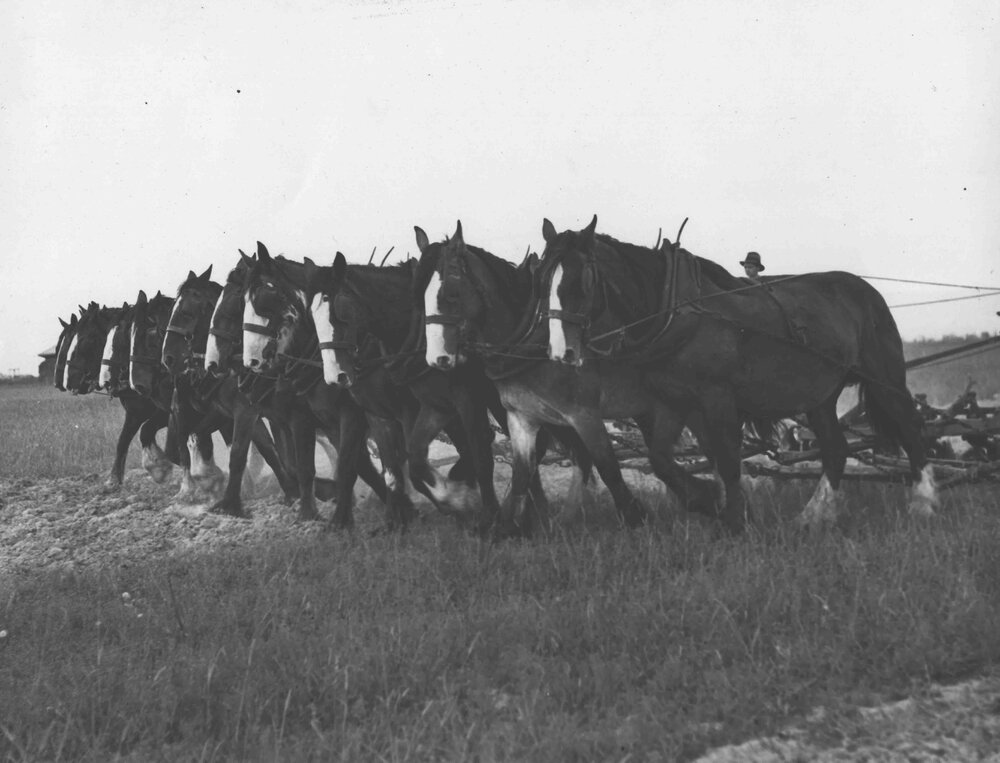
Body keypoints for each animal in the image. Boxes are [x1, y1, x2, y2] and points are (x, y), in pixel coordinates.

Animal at [241, 243, 388, 525]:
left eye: (266, 290)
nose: (251, 360)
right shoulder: (304, 418)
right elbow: (307, 466)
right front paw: (311, 512)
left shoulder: (350, 414)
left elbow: (348, 466)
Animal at [418, 222, 723, 535]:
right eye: (421, 295)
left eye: (450, 294)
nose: (437, 358)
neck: (529, 346)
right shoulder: (521, 417)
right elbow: (522, 473)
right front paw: (506, 526)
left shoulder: (583, 414)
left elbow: (607, 466)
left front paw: (636, 517)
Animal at [539, 216, 939, 528]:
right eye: (543, 278)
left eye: (582, 280)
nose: (561, 353)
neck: (674, 313)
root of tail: (865, 289)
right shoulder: (672, 401)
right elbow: (662, 459)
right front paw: (707, 501)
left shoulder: (716, 396)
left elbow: (728, 460)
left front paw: (734, 520)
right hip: (820, 395)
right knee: (835, 449)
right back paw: (813, 517)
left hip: (884, 377)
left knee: (911, 429)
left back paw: (924, 504)